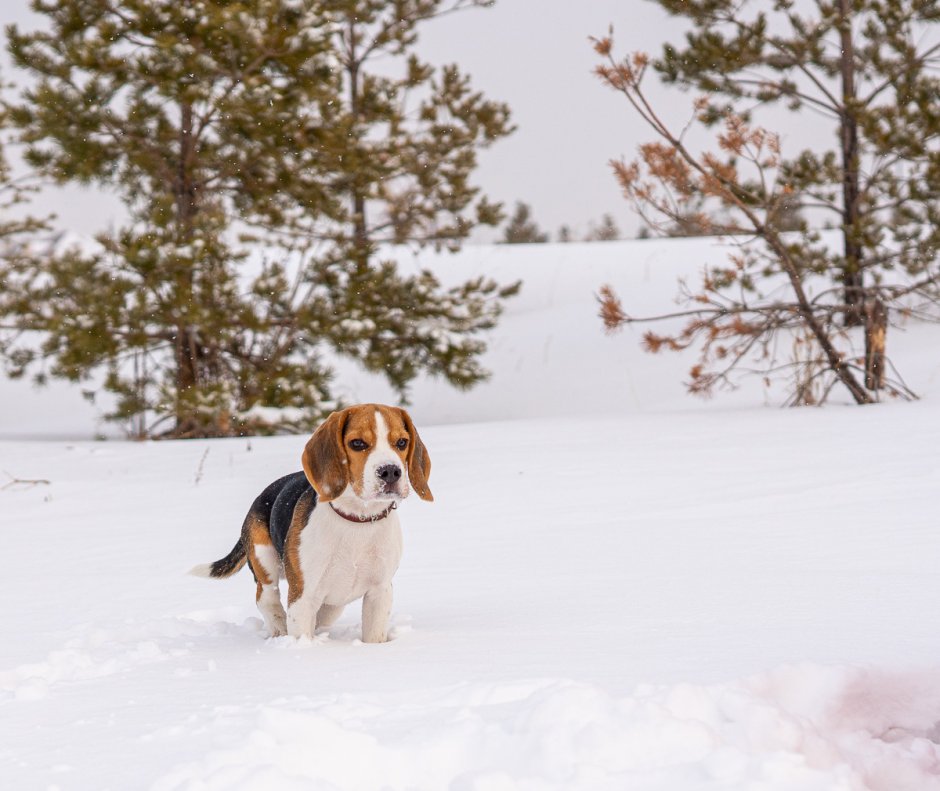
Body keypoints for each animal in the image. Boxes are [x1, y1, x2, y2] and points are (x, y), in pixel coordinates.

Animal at [192, 406, 434, 640]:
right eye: (357, 443)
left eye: (402, 442)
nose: (390, 471)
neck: (357, 519)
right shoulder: (303, 596)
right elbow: (301, 633)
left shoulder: (379, 592)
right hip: (263, 558)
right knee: (266, 597)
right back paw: (279, 629)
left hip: (333, 603)